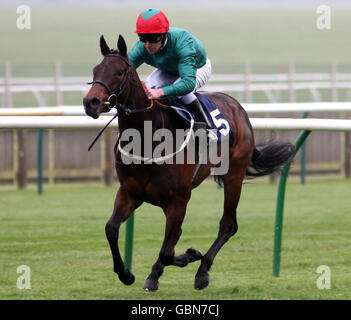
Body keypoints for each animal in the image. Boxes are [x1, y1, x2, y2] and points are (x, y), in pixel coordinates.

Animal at [82, 34, 294, 290]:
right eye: (96, 70)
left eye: (119, 72)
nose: (91, 102)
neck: (148, 139)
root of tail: (237, 107)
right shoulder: (129, 193)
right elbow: (112, 229)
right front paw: (126, 274)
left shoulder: (179, 200)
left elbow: (167, 251)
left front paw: (189, 257)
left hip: (234, 175)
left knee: (228, 225)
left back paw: (202, 272)